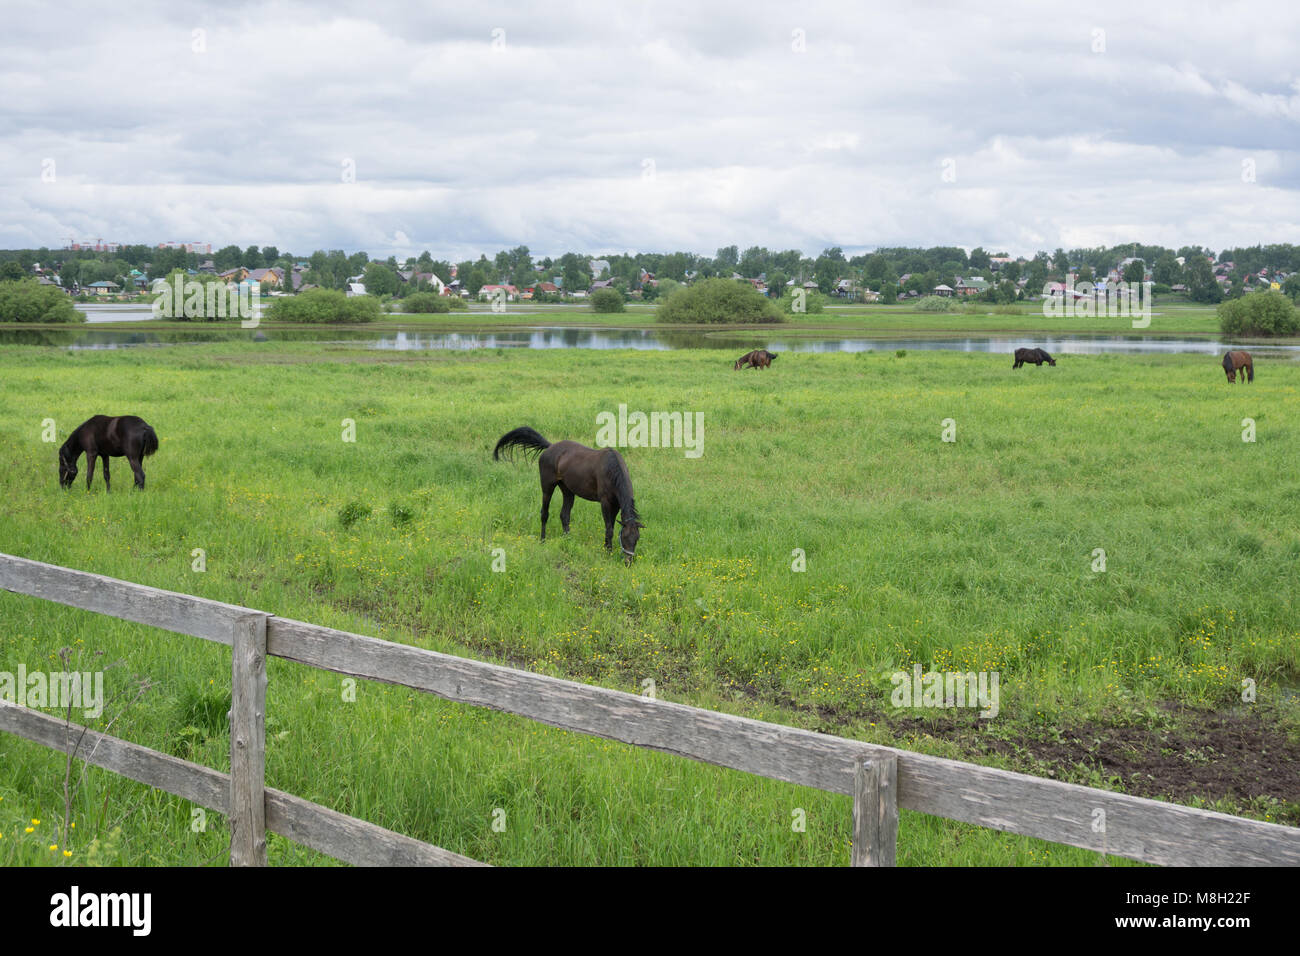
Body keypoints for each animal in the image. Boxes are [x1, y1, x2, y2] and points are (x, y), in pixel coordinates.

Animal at [493, 426, 641, 563]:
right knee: (544, 514)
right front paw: (608, 553)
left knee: (564, 515)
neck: (612, 471)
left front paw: (607, 548)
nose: (628, 562)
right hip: (547, 487)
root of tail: (550, 446)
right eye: (625, 537)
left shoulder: (615, 505)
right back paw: (543, 540)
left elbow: (611, 527)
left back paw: (568, 541)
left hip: (567, 490)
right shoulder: (605, 502)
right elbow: (609, 528)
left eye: (637, 538)